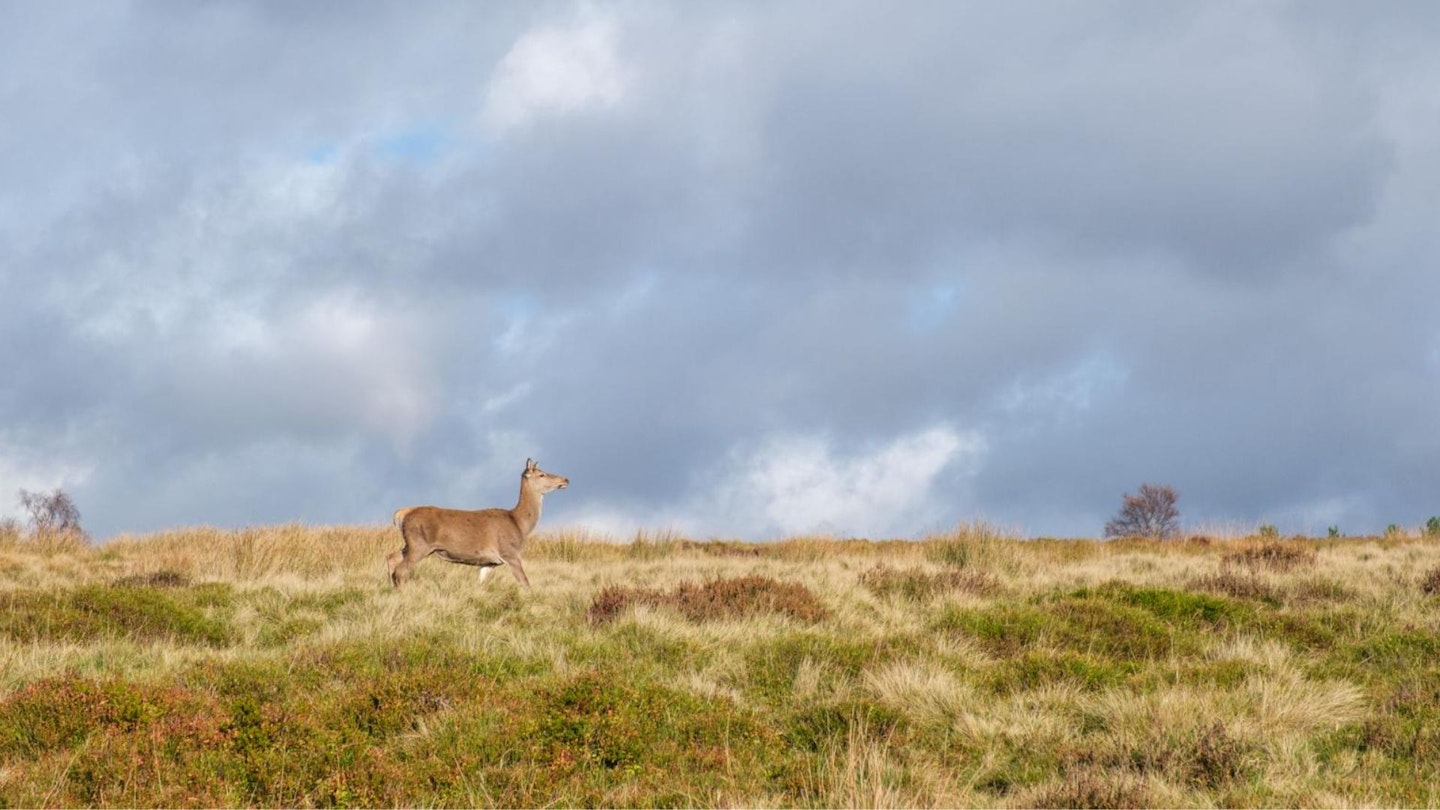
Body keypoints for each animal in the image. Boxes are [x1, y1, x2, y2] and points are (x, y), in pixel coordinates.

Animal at [388, 458, 567, 582]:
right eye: (542, 474)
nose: (565, 480)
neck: (519, 524)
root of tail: (403, 514)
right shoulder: (509, 553)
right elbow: (525, 583)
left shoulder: (489, 563)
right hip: (419, 544)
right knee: (401, 570)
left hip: (410, 544)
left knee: (391, 558)